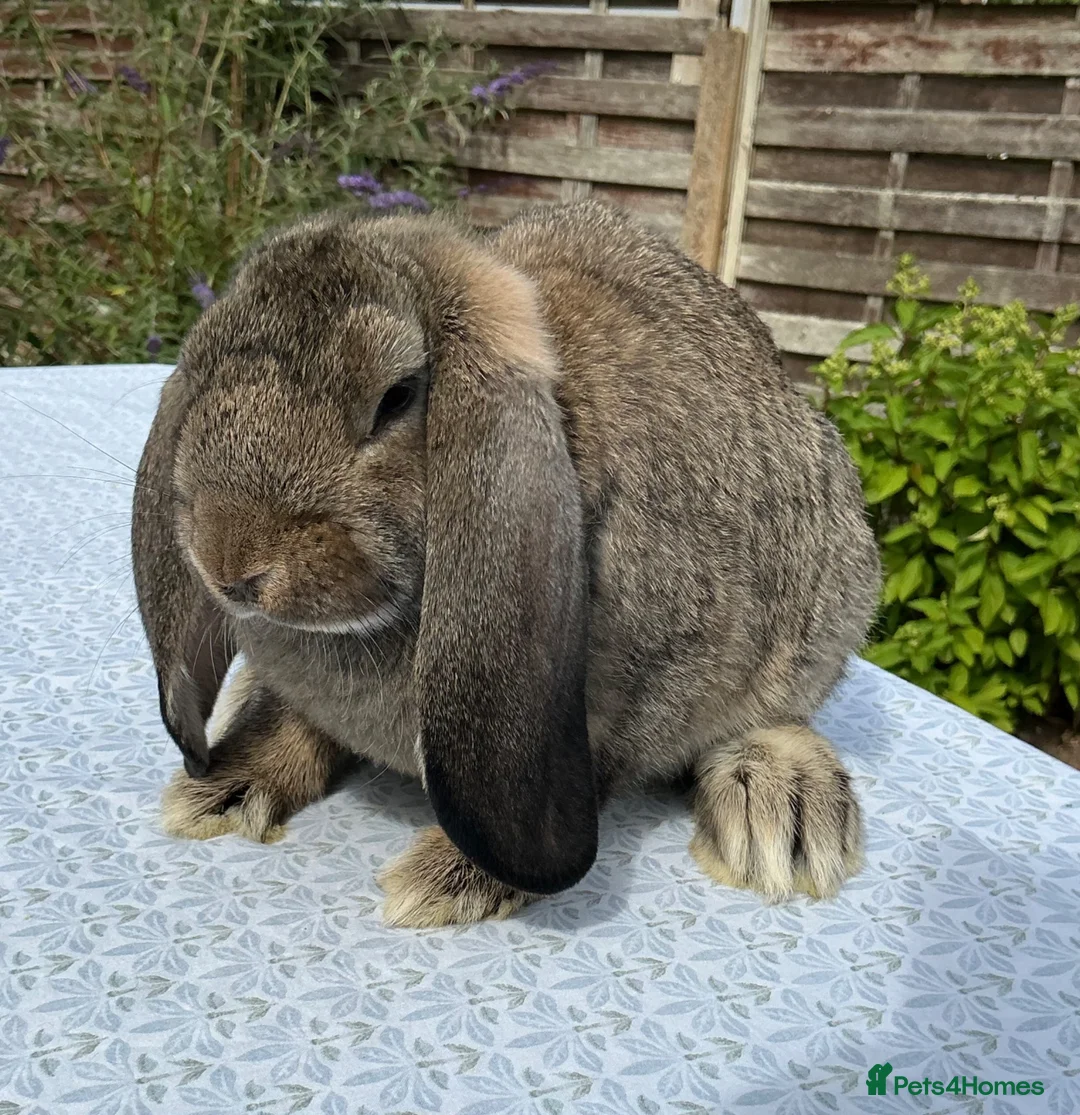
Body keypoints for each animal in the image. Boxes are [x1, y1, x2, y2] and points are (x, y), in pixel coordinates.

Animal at [132, 200, 881, 928]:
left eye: (397, 396)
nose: (231, 565)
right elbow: (292, 719)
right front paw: (224, 791)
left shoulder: (638, 696)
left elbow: (595, 774)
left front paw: (447, 881)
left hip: (825, 608)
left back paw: (781, 812)